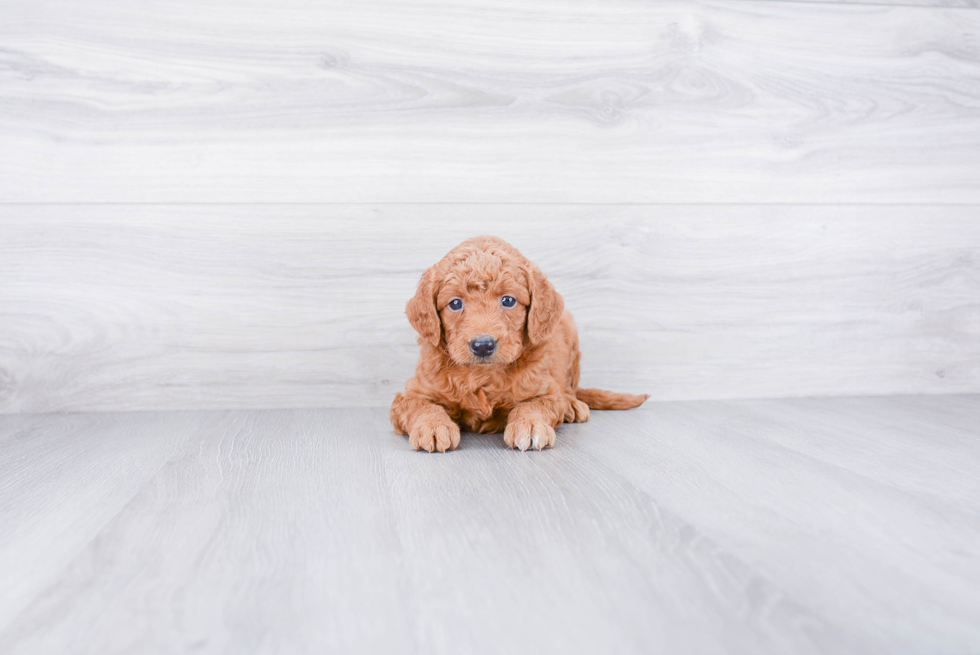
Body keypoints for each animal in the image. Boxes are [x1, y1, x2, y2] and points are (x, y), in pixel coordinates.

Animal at [386, 236, 648, 452]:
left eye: (508, 300)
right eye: (455, 303)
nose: (483, 345)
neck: (483, 376)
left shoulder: (545, 390)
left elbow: (533, 405)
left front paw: (530, 425)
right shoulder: (412, 393)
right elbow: (422, 406)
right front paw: (432, 426)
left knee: (570, 388)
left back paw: (572, 405)